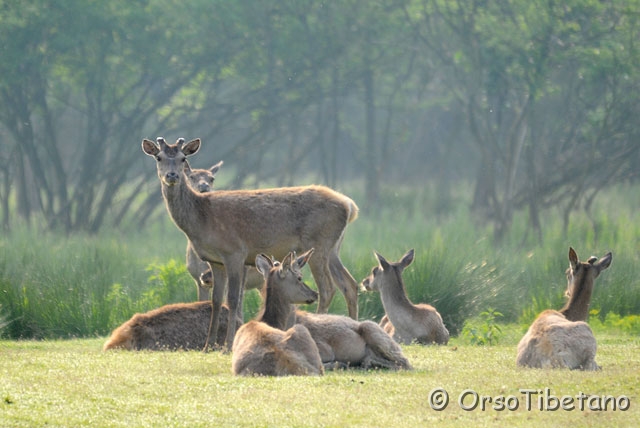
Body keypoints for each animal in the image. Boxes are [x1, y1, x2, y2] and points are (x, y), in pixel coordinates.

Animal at [141, 137, 360, 352]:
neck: (201, 219)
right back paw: (353, 325)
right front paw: (207, 346)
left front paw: (227, 345)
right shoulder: (215, 260)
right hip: (332, 249)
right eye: (159, 157)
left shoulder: (235, 252)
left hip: (318, 243)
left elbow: (233, 299)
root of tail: (349, 205)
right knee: (350, 285)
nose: (172, 175)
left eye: (183, 158)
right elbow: (215, 300)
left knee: (327, 289)